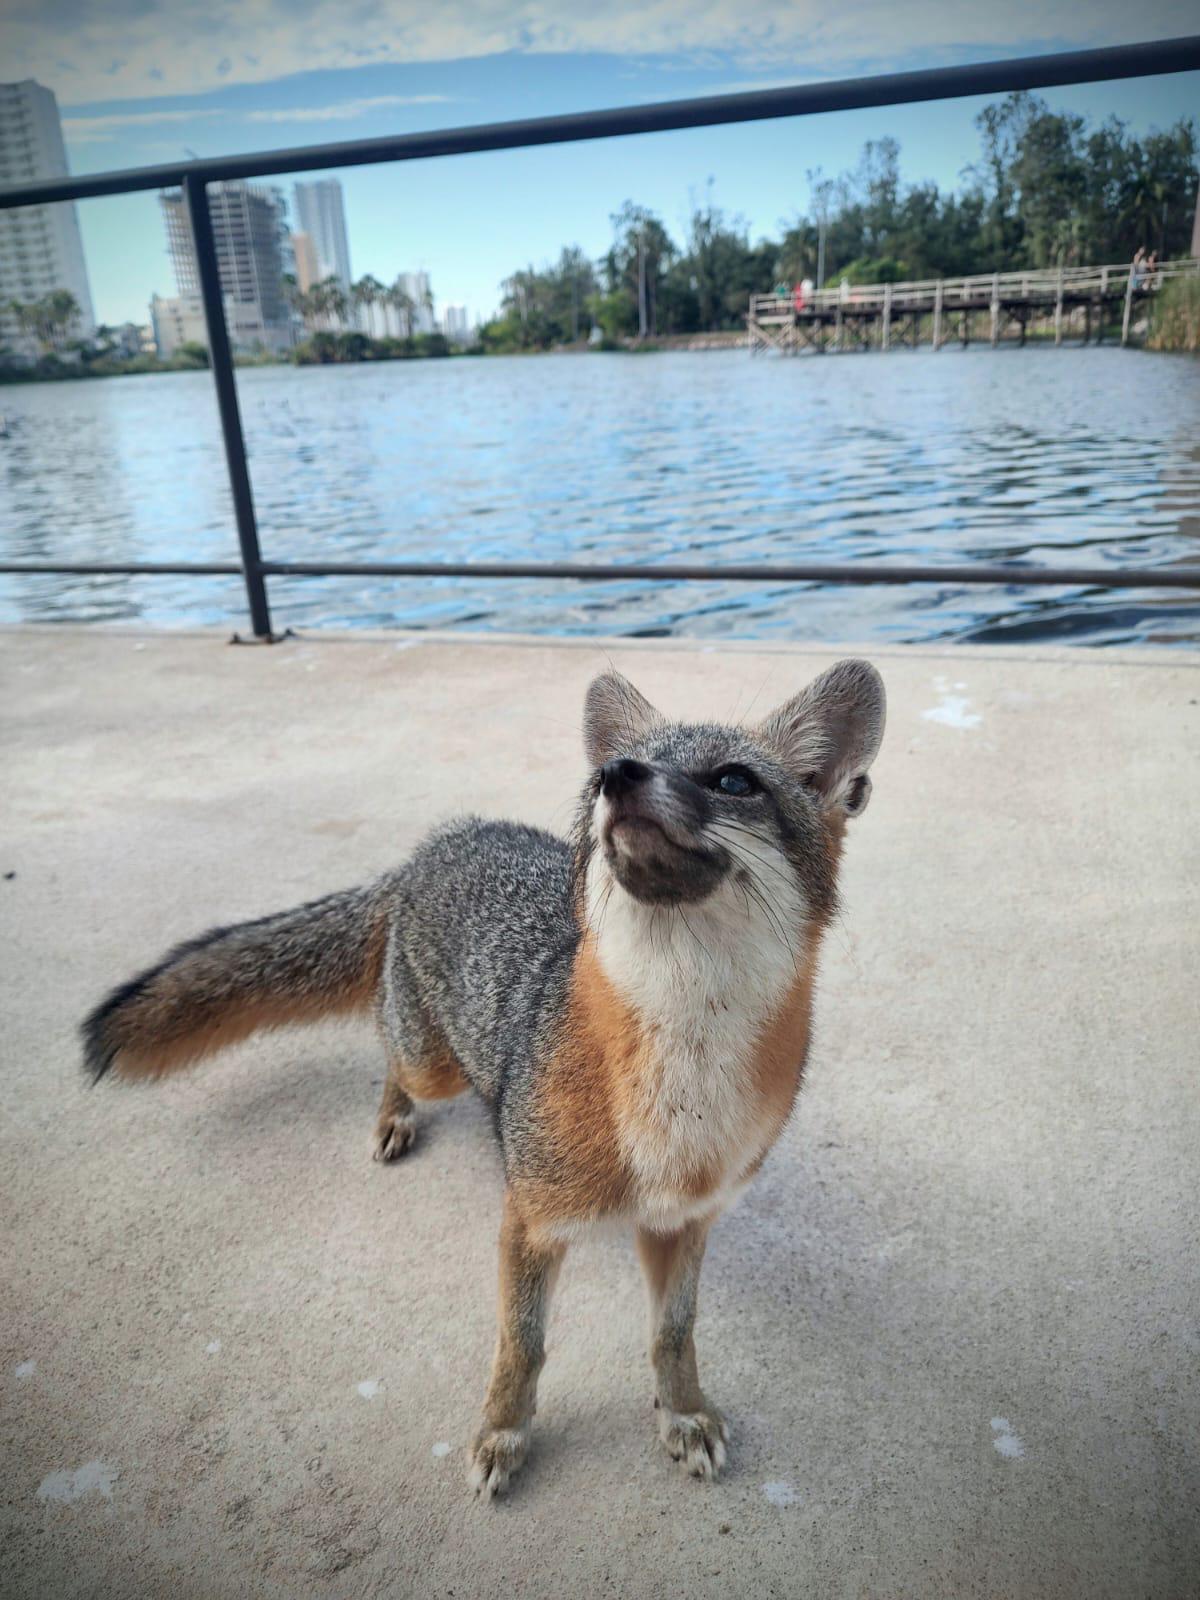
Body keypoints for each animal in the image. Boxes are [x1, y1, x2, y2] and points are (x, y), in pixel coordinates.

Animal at [84, 656, 889, 1491]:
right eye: (604, 772)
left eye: (734, 781)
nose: (617, 775)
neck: (679, 1079)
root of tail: (441, 839)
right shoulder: (529, 1221)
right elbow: (521, 1346)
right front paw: (503, 1430)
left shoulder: (683, 1221)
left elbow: (674, 1335)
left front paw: (684, 1411)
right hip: (429, 1063)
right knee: (391, 1057)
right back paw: (394, 1118)